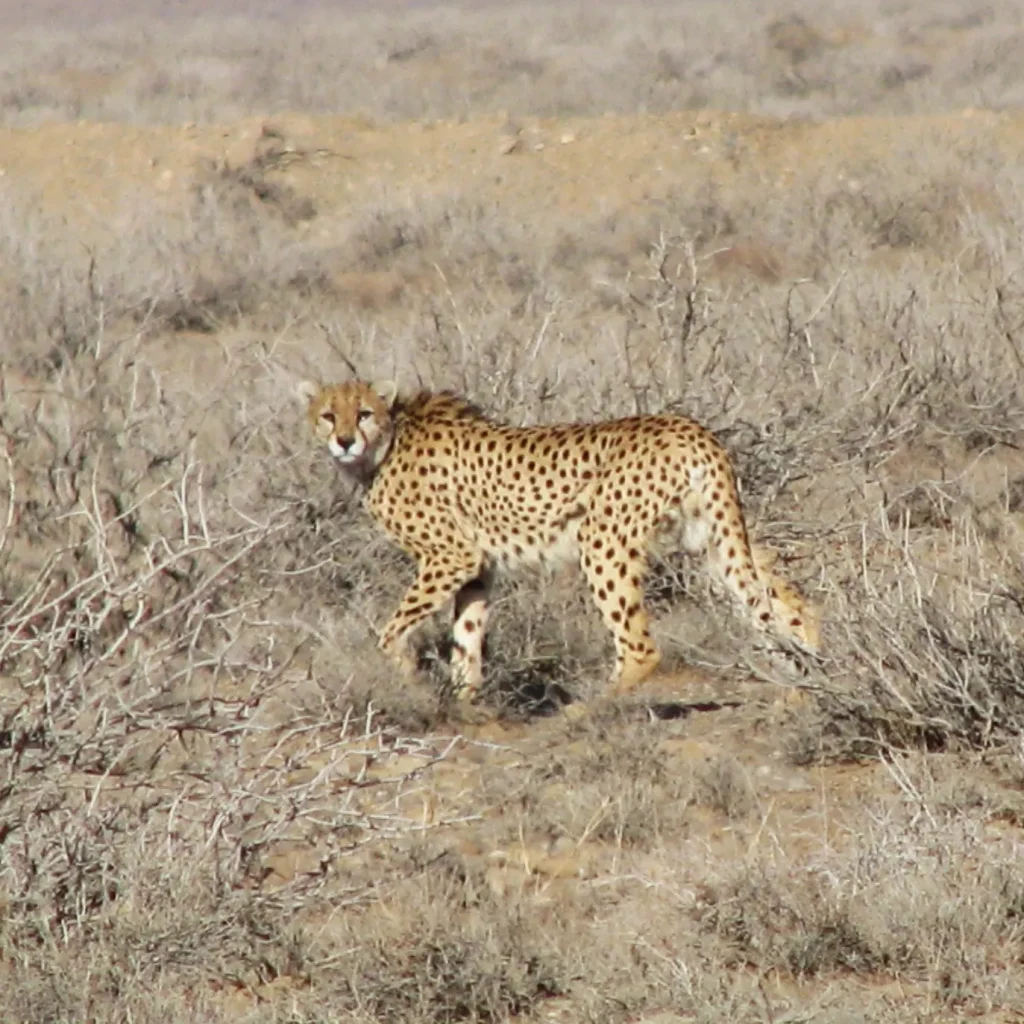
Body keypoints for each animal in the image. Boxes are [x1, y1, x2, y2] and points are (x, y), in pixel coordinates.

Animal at [296, 377, 819, 705]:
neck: (389, 440)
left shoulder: (451, 556)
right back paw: (812, 672)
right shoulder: (478, 567)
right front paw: (465, 702)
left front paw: (407, 673)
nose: (344, 441)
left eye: (364, 413)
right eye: (328, 415)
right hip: (708, 541)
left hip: (602, 540)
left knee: (641, 647)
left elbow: (390, 631)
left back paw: (588, 710)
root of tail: (689, 427)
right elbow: (467, 635)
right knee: (786, 602)